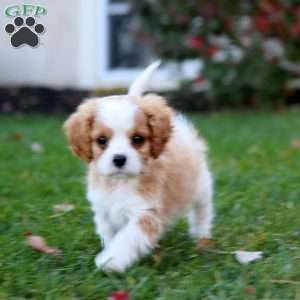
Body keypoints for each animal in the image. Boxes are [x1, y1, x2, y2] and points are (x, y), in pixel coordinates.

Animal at [63, 62, 213, 274]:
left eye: (138, 139)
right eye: (101, 140)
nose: (119, 159)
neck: (120, 183)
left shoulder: (145, 214)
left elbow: (126, 239)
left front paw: (111, 261)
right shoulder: (104, 211)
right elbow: (110, 235)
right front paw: (109, 253)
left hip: (201, 187)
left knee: (202, 212)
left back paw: (201, 238)